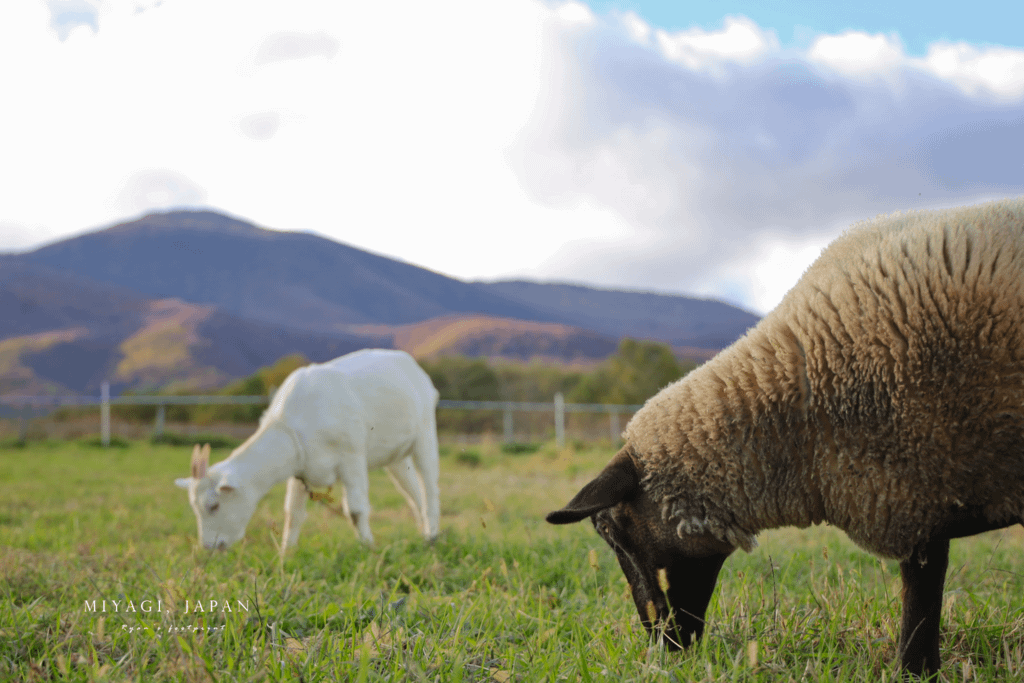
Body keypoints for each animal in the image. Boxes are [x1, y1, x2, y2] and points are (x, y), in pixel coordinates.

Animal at [173, 350, 444, 552]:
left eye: (213, 505)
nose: (209, 546)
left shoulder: (352, 457)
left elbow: (356, 510)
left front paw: (368, 547)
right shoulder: (300, 468)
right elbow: (292, 514)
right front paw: (286, 554)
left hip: (425, 433)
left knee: (430, 486)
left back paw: (432, 537)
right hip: (395, 457)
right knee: (412, 491)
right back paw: (423, 531)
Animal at [548, 198, 1024, 679]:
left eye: (609, 529)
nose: (662, 643)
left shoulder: (921, 494)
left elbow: (920, 603)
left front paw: (914, 670)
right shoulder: (917, 493)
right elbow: (922, 596)